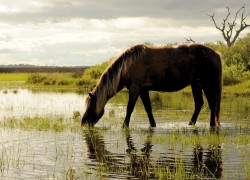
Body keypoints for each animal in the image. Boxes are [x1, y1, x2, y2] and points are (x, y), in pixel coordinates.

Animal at [82, 43, 223, 128]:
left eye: (90, 106)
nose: (83, 123)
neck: (128, 65)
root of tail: (215, 54)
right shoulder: (143, 90)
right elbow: (148, 108)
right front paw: (153, 125)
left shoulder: (135, 89)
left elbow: (129, 108)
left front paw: (124, 126)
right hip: (196, 84)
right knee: (199, 104)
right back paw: (191, 124)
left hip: (207, 84)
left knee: (212, 103)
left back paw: (211, 125)